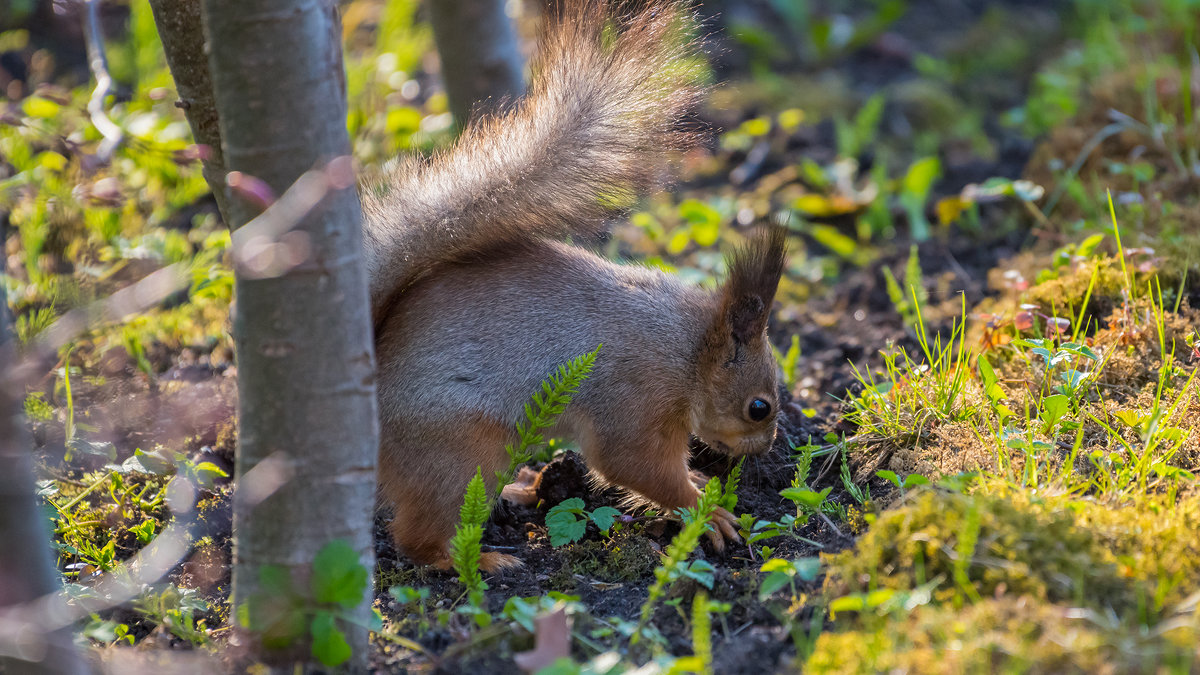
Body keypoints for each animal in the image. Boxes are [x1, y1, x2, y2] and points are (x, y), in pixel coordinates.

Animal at [360, 0, 782, 566]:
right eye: (759, 407)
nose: (768, 446)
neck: (687, 349)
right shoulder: (635, 396)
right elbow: (631, 463)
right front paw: (704, 511)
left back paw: (519, 491)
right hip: (461, 450)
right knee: (420, 534)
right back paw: (476, 560)